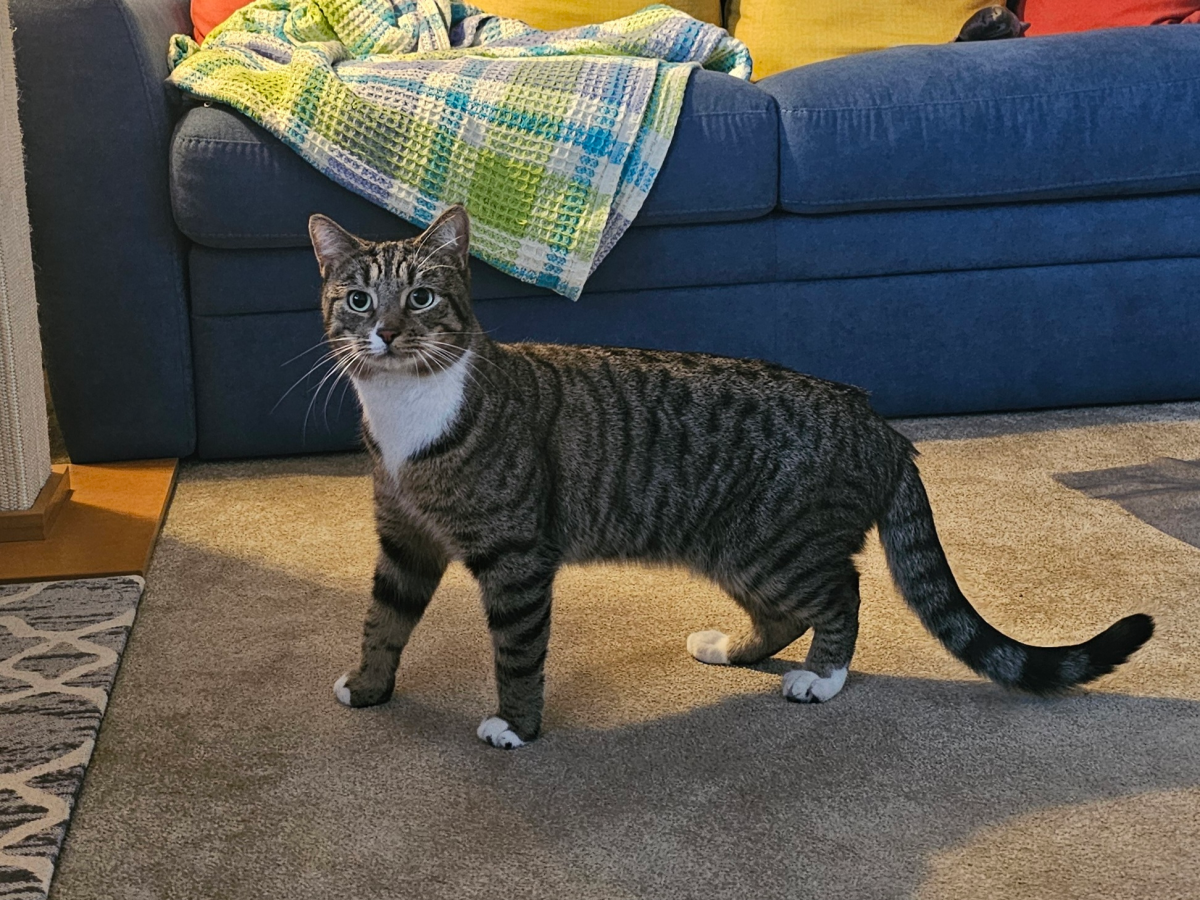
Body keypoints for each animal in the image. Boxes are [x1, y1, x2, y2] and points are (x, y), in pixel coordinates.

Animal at [310, 205, 1153, 749]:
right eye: (358, 299)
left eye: (422, 297)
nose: (386, 333)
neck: (407, 411)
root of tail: (878, 422)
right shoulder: (405, 539)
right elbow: (383, 620)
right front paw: (369, 687)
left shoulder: (515, 555)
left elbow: (517, 651)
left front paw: (516, 727)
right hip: (740, 552)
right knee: (784, 615)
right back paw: (734, 650)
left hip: (776, 548)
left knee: (842, 594)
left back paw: (822, 678)